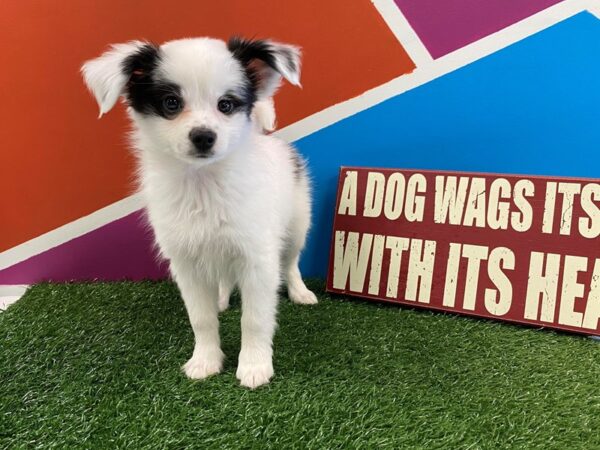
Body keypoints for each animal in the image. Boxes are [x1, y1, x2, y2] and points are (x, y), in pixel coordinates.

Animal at [84, 37, 318, 388]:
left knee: (290, 262)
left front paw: (254, 366)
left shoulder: (257, 259)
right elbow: (201, 318)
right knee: (222, 276)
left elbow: (255, 319)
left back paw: (300, 291)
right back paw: (221, 298)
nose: (204, 136)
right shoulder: (186, 263)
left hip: (297, 224)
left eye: (227, 105)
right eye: (170, 103)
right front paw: (205, 361)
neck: (203, 182)